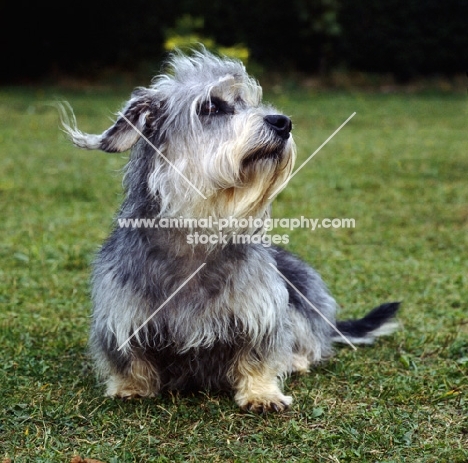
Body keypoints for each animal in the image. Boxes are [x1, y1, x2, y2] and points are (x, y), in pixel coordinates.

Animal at [61, 49, 398, 414]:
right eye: (210, 107)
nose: (283, 122)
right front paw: (131, 387)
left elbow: (259, 355)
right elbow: (129, 359)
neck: (199, 230)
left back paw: (295, 360)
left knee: (310, 341)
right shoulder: (120, 313)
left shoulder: (264, 311)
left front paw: (262, 392)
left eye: (252, 102)